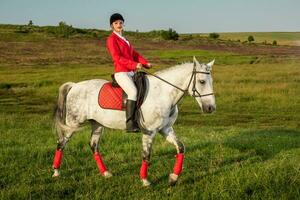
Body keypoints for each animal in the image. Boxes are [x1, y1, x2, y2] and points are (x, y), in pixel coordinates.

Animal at [51, 56, 216, 186]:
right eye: (202, 81)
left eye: (211, 81)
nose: (210, 108)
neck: (163, 93)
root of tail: (74, 86)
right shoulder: (149, 132)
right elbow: (146, 155)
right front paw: (145, 180)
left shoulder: (166, 129)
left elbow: (181, 147)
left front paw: (173, 178)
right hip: (72, 124)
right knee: (61, 143)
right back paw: (56, 171)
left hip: (97, 125)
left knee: (93, 145)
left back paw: (105, 173)